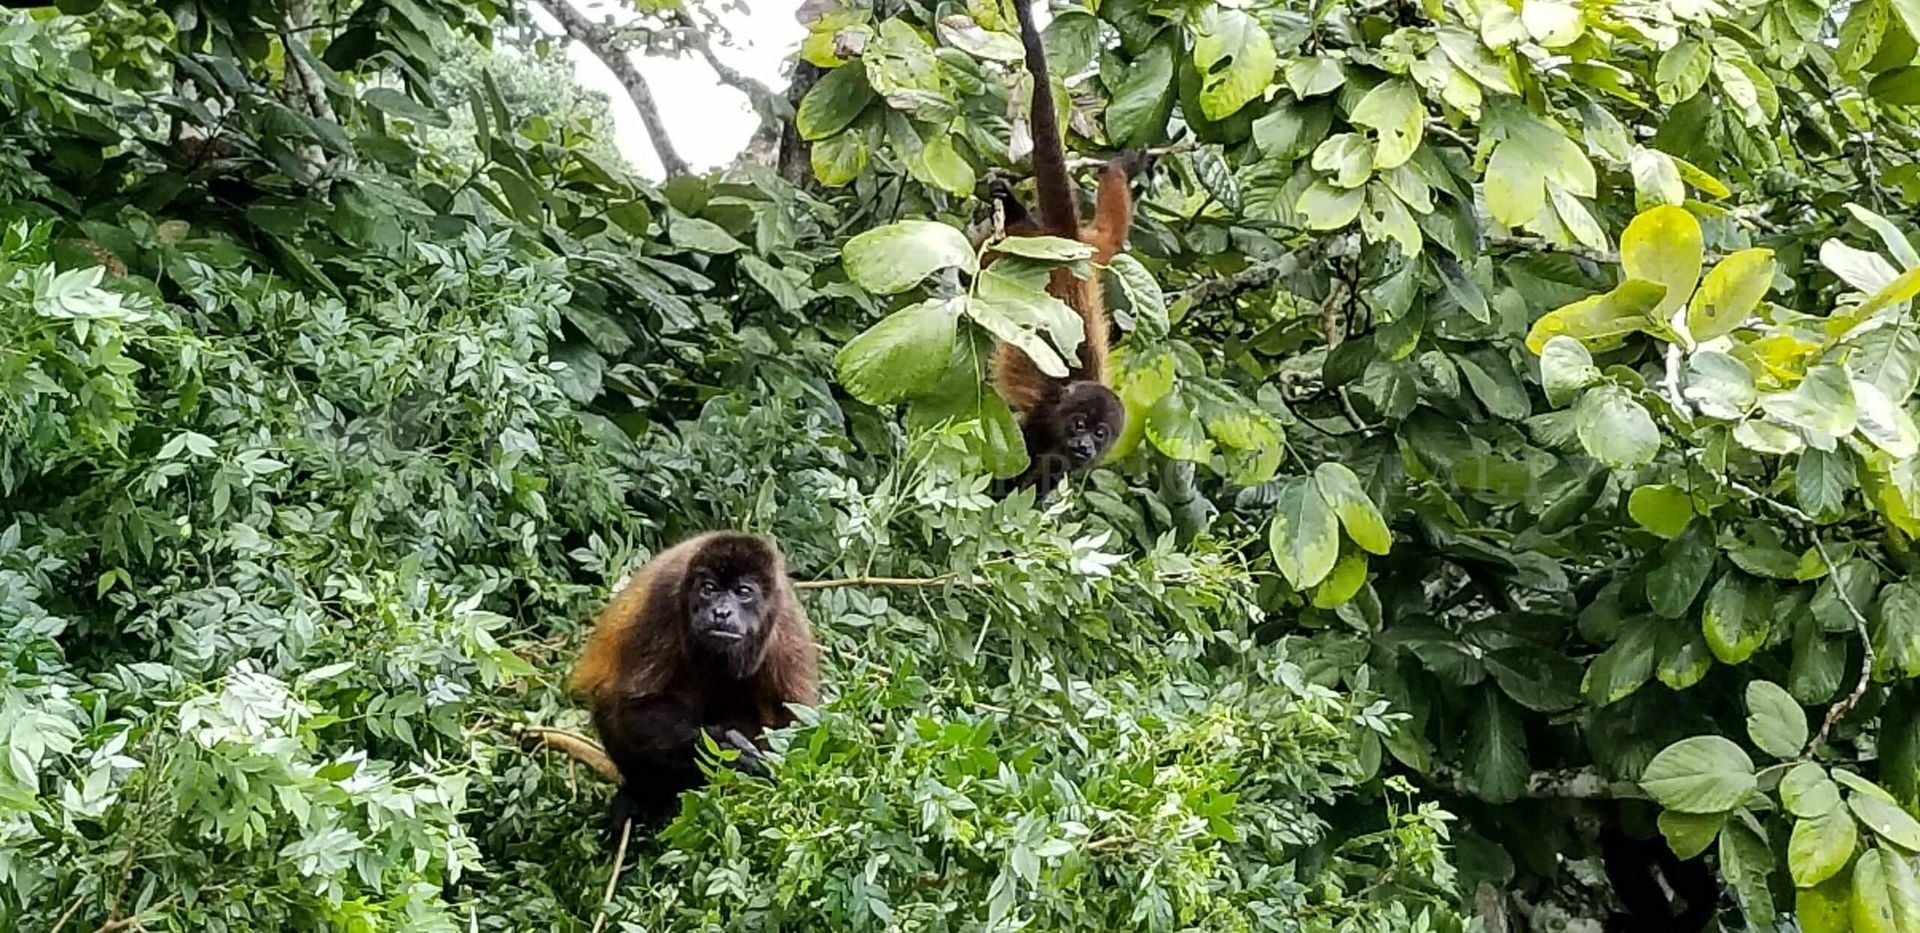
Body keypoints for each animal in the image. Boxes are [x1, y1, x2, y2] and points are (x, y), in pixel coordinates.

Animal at [983, 0, 1144, 502]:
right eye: (1079, 425)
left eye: (1100, 433)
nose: (1085, 446)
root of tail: (1065, 243)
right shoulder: (1039, 422)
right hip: (1016, 256)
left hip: (1092, 250)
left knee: (1110, 234)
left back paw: (1119, 170)